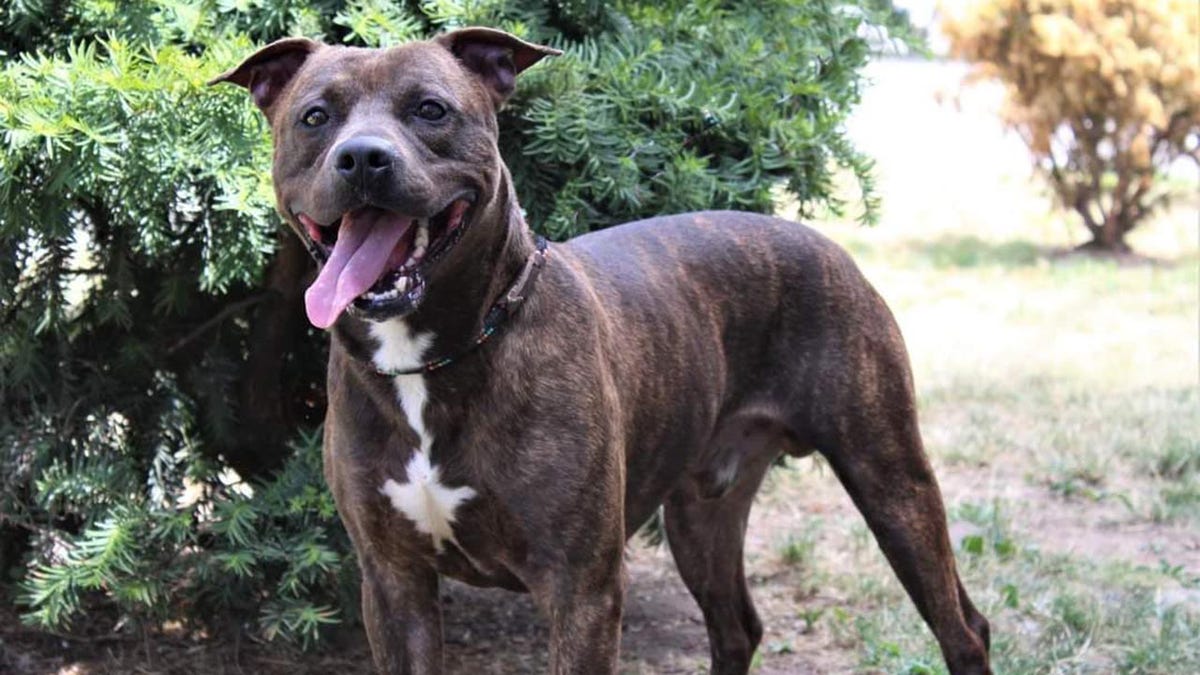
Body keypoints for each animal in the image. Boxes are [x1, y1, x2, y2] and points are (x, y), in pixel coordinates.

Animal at [213, 27, 993, 672]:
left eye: (431, 110)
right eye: (316, 117)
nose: (364, 158)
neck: (434, 360)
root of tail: (826, 243)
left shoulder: (580, 588)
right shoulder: (393, 580)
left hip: (889, 476)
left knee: (963, 627)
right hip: (702, 509)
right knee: (736, 626)